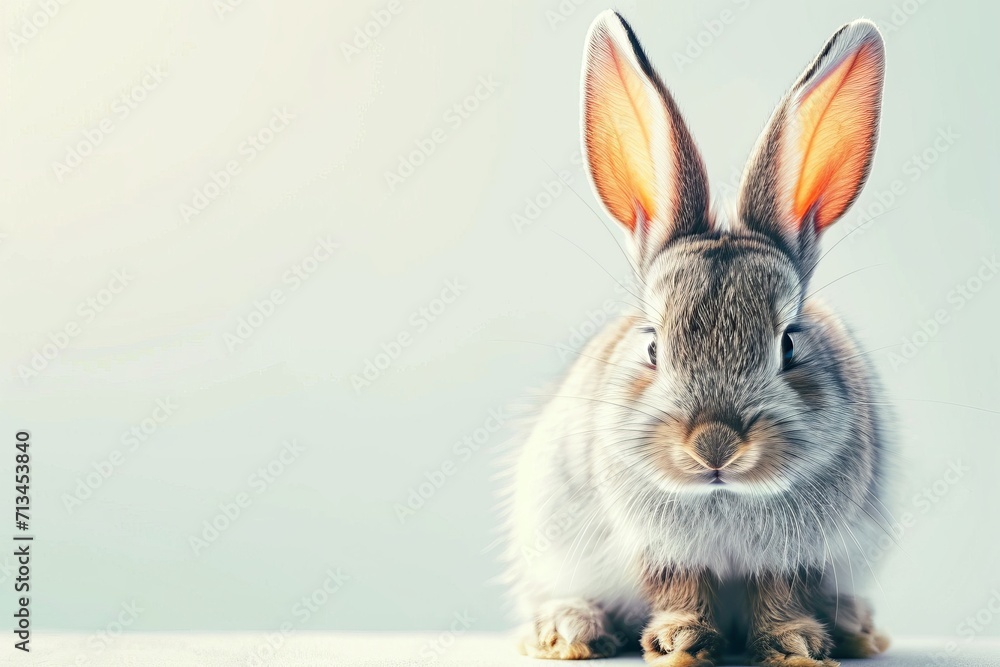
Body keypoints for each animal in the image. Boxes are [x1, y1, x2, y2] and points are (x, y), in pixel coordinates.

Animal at [505, 10, 893, 667]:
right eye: (652, 346)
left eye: (789, 344)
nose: (715, 445)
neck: (726, 495)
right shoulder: (659, 546)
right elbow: (682, 589)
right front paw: (679, 644)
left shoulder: (795, 554)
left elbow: (780, 594)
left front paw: (794, 645)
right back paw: (568, 630)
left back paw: (857, 630)